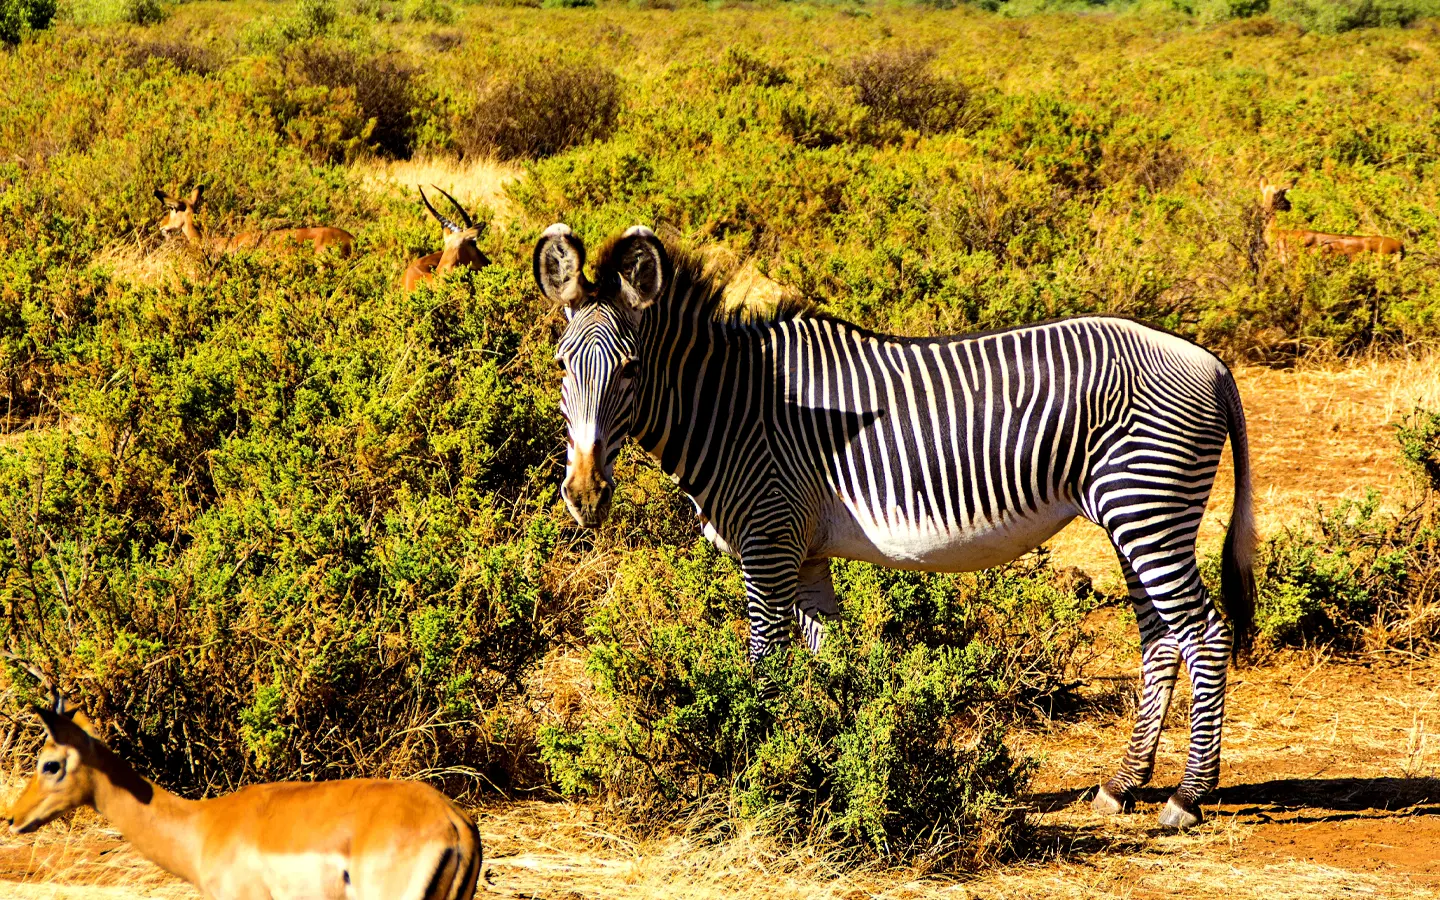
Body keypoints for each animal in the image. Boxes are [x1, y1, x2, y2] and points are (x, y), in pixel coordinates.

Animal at [534, 223, 1256, 830]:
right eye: (562, 366)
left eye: (632, 369)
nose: (585, 495)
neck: (734, 407)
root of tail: (1209, 361)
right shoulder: (805, 554)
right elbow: (831, 661)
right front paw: (836, 764)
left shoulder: (767, 542)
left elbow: (764, 669)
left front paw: (757, 777)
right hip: (1132, 513)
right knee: (1161, 641)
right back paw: (1124, 785)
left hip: (1148, 507)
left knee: (1205, 635)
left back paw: (1188, 797)